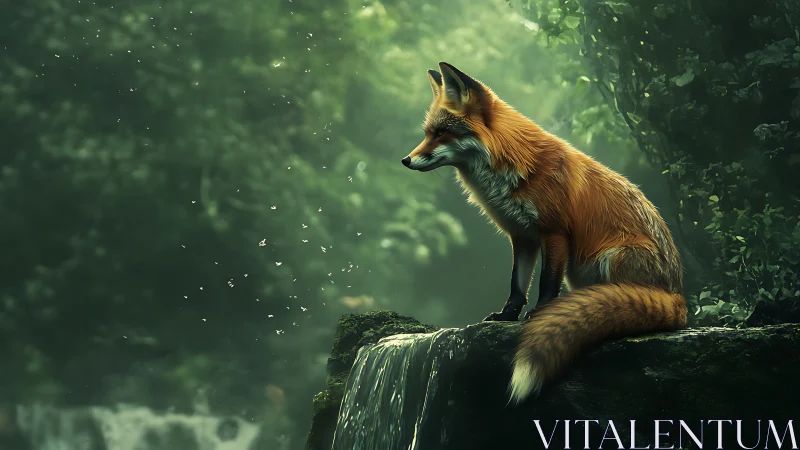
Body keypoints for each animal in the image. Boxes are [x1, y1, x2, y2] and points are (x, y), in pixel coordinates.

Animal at [401, 62, 687, 405]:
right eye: (427, 133)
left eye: (442, 133)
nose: (406, 160)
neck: (512, 167)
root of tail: (678, 298)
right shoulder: (522, 237)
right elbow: (517, 285)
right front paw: (507, 316)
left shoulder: (555, 233)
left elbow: (546, 282)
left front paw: (541, 314)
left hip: (614, 257)